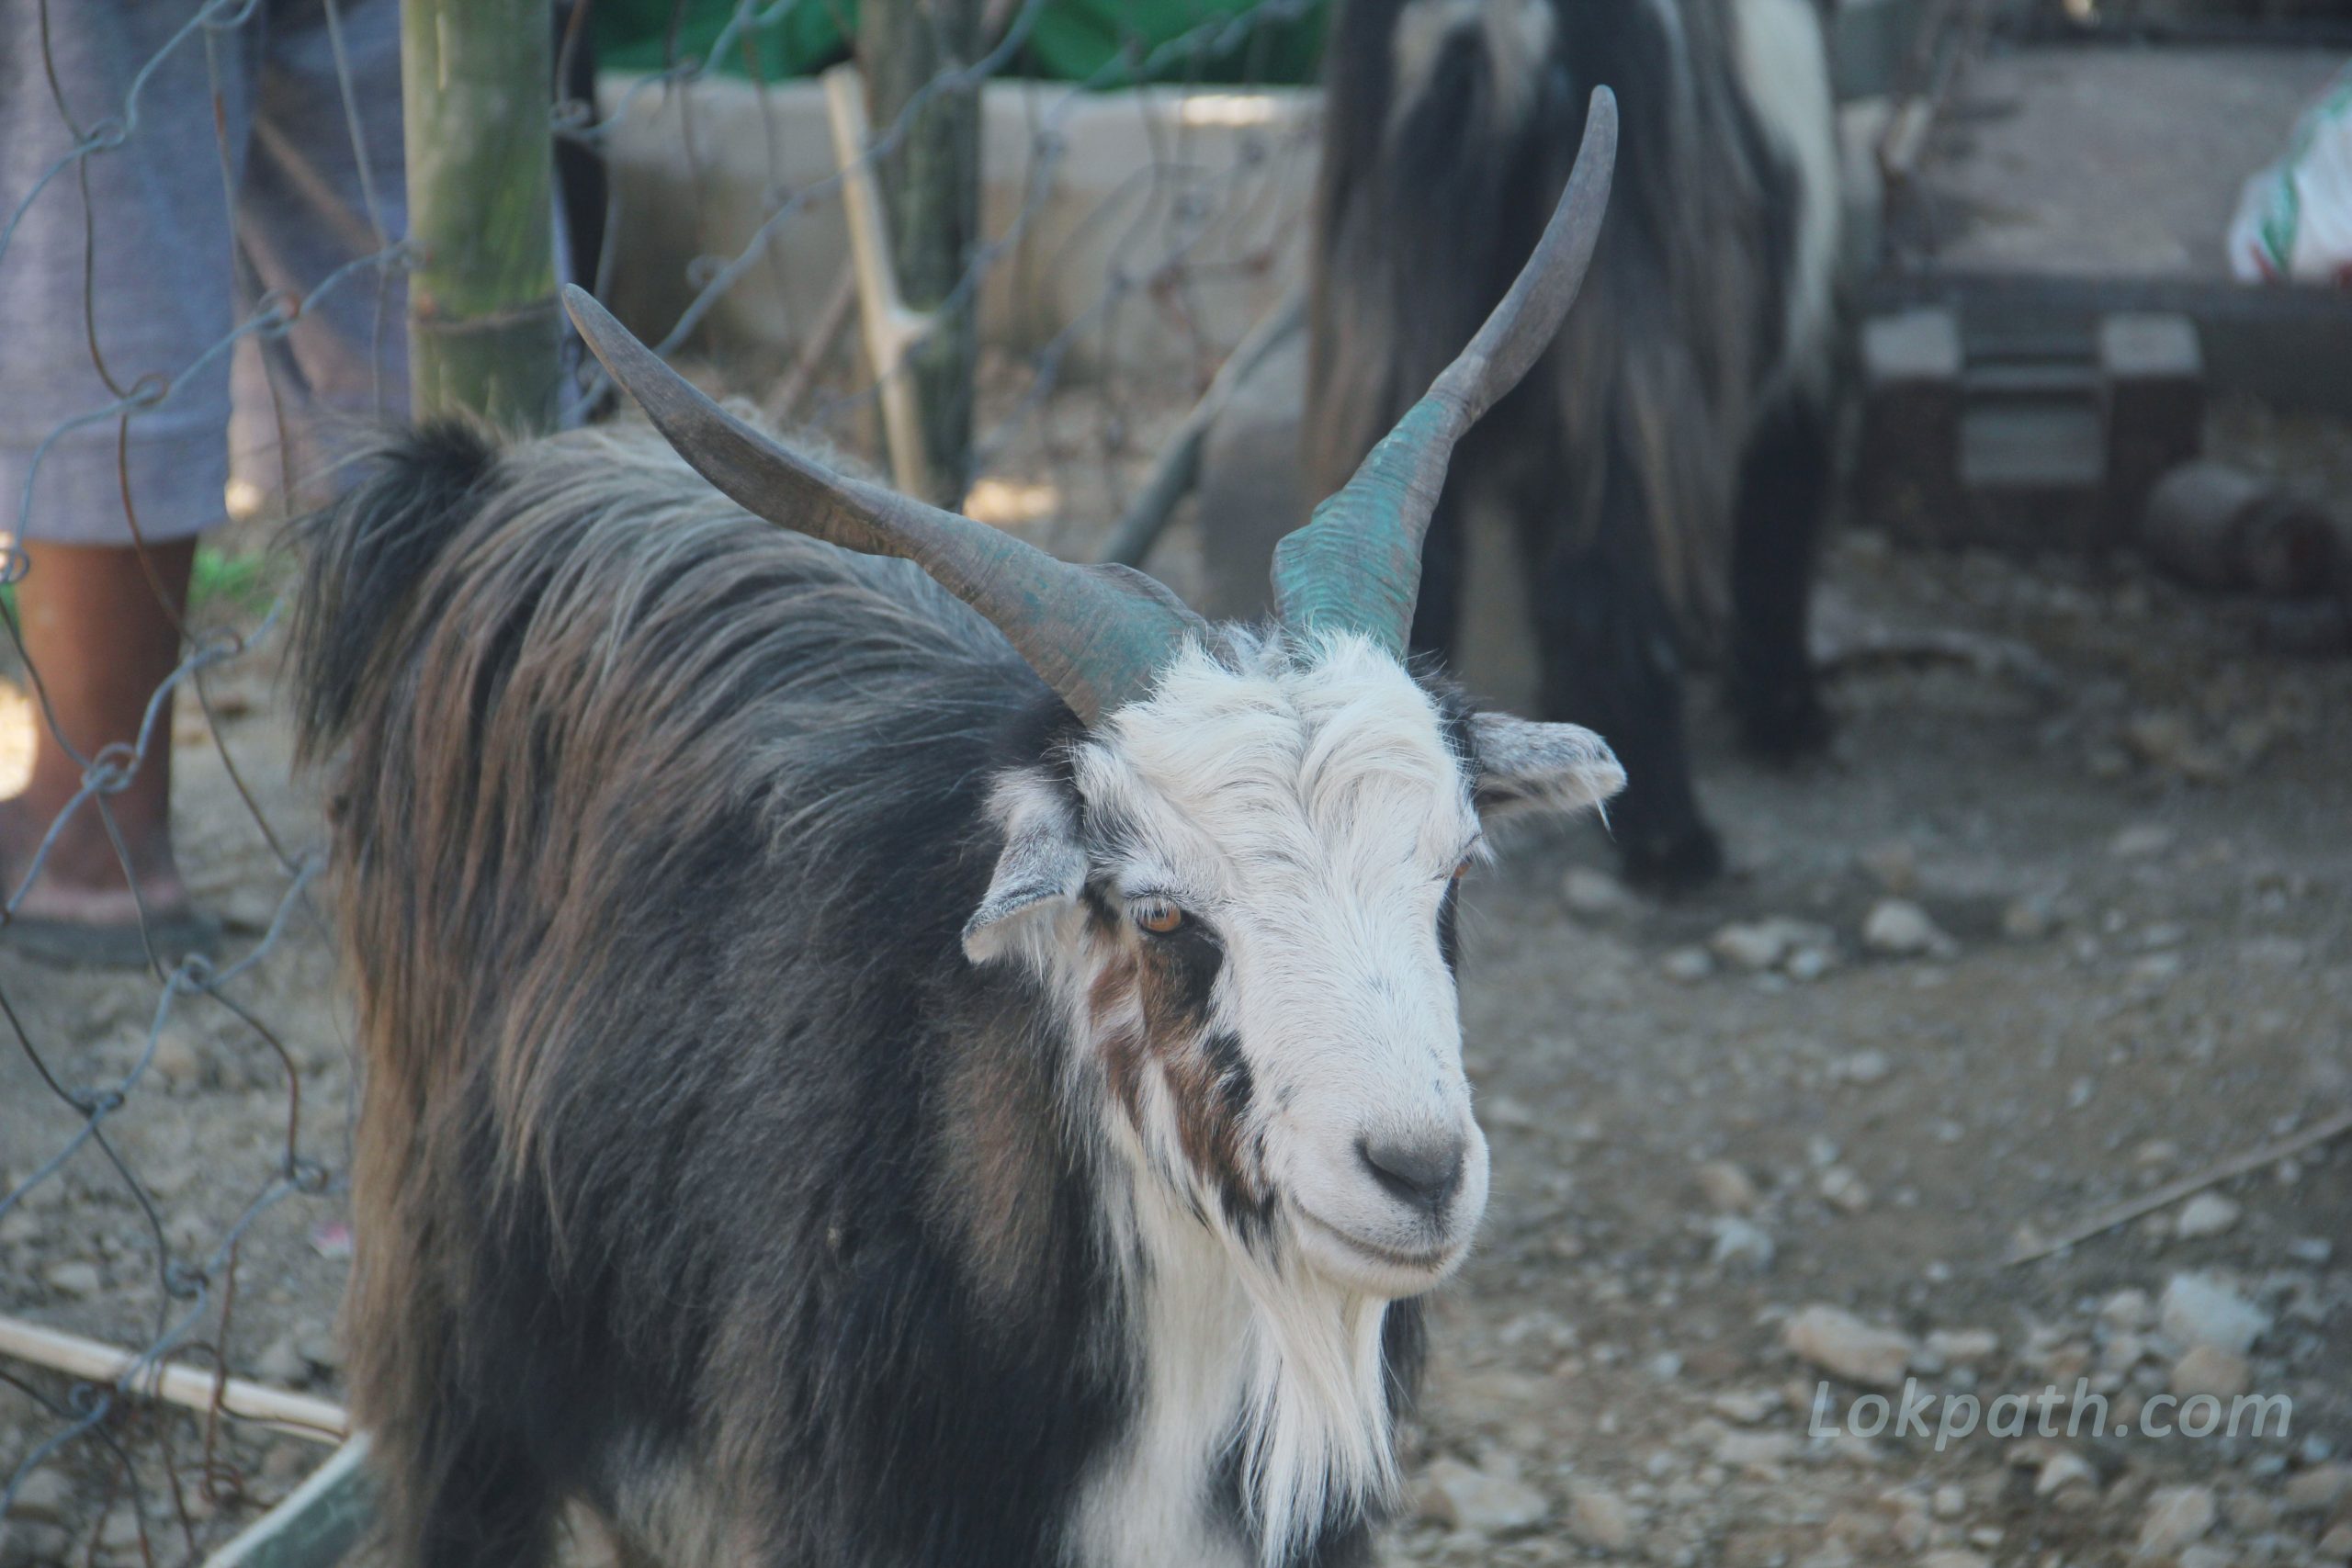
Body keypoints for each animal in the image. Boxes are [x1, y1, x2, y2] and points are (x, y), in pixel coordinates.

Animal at [1305, 0, 1844, 887]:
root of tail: (1491, 31)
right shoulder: (1793, 348)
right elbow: (1780, 505)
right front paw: (1787, 717)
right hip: (1621, 322)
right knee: (1611, 573)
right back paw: (1672, 839)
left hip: (1399, 320)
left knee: (1412, 569)